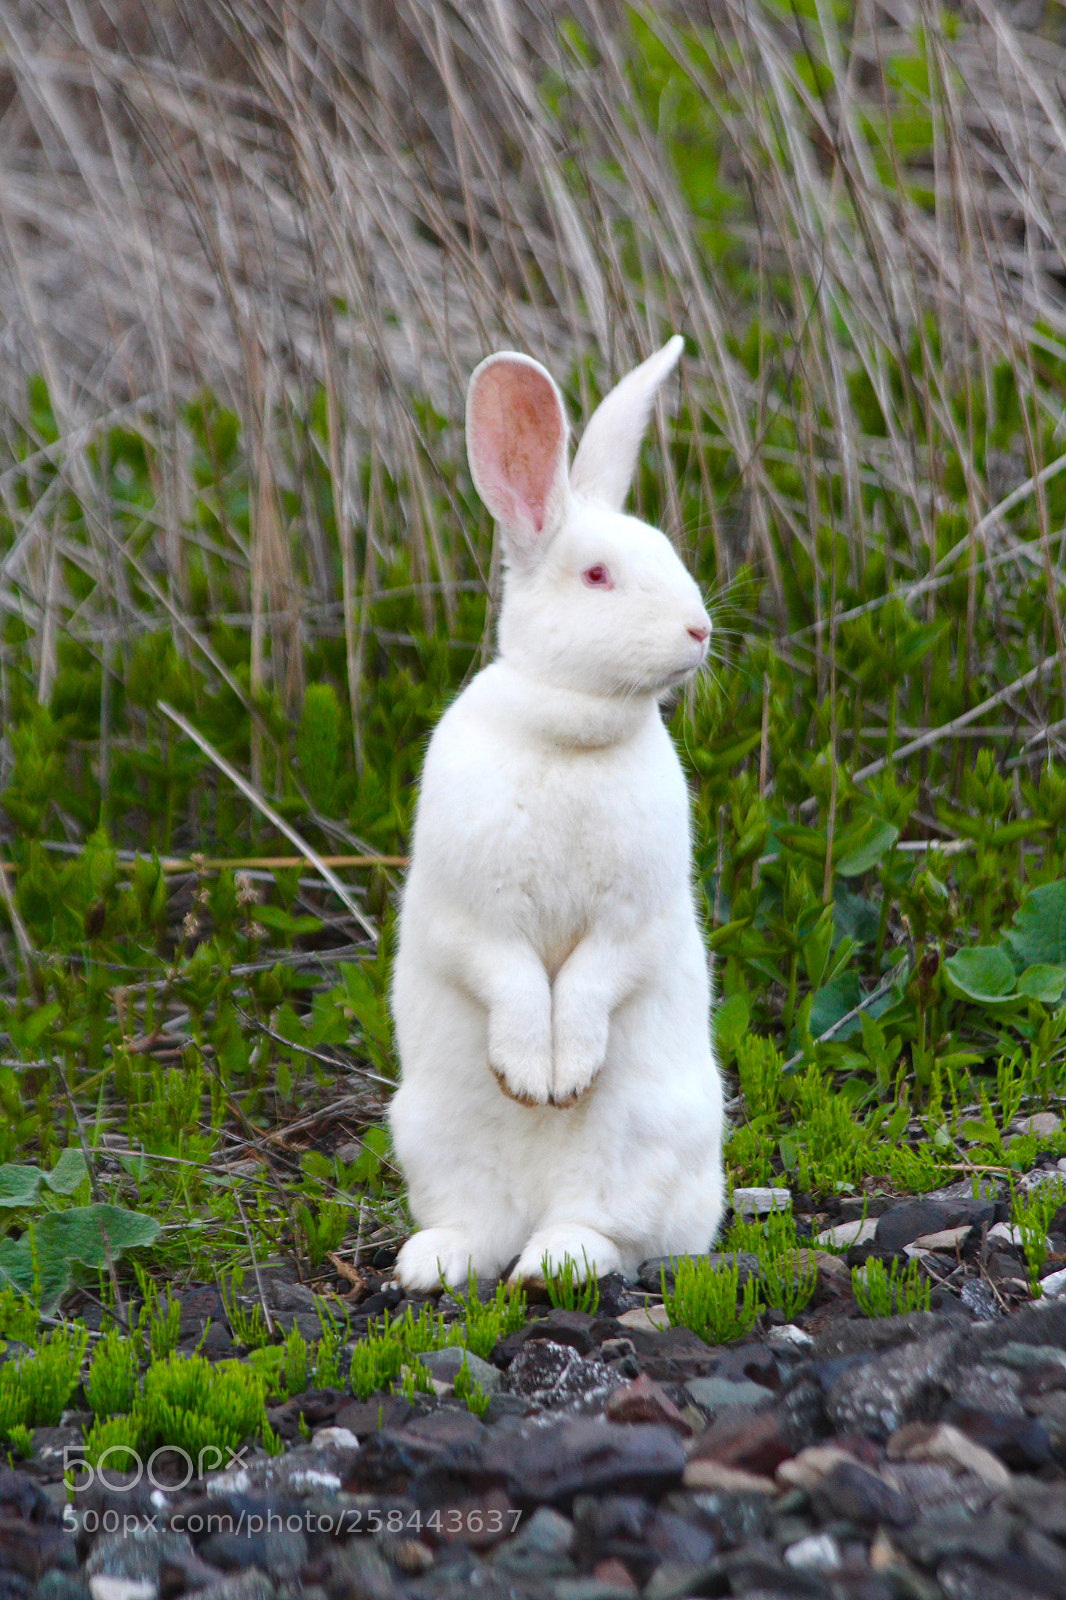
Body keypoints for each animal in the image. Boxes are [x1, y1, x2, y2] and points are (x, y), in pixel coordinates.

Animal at [388, 335, 725, 1291]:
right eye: (599, 574)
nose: (699, 631)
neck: (571, 732)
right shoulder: (470, 915)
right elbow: (508, 976)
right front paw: (529, 1078)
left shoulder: (633, 918)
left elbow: (587, 981)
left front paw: (560, 1080)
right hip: (430, 1137)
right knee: (476, 1225)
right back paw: (429, 1264)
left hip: (648, 1142)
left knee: (612, 1235)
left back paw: (555, 1262)